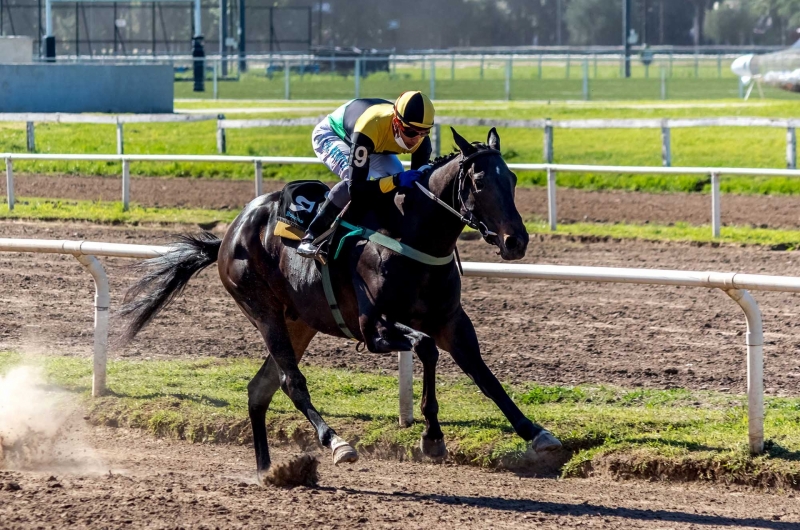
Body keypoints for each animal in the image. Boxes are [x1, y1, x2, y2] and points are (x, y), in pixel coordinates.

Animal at [119, 127, 564, 478]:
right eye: (479, 181)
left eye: (512, 178)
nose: (516, 241)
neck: (413, 236)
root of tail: (229, 234)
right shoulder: (375, 330)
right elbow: (425, 348)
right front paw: (432, 436)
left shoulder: (452, 321)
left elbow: (484, 376)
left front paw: (536, 432)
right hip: (264, 312)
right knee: (290, 382)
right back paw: (336, 442)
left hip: (300, 320)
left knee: (259, 388)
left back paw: (267, 471)